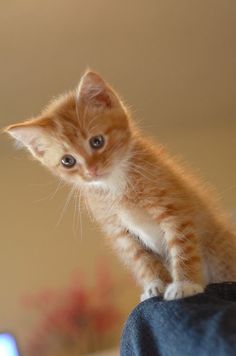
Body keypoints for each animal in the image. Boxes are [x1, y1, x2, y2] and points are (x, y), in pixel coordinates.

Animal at [5, 70, 236, 300]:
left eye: (97, 141)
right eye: (67, 161)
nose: (91, 171)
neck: (116, 185)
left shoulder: (175, 210)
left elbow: (182, 246)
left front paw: (185, 284)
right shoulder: (119, 230)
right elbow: (141, 259)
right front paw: (155, 284)